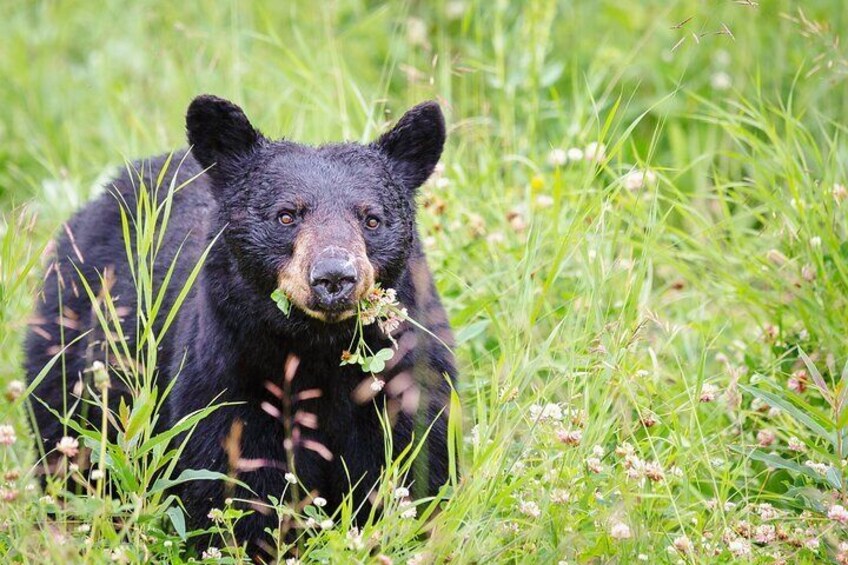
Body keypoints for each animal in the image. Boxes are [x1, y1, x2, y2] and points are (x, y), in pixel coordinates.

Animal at [23, 93, 458, 556]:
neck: (317, 349)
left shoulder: (403, 375)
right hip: (70, 344)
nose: (334, 277)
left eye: (371, 219)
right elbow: (234, 481)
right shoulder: (228, 376)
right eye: (286, 215)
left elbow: (413, 466)